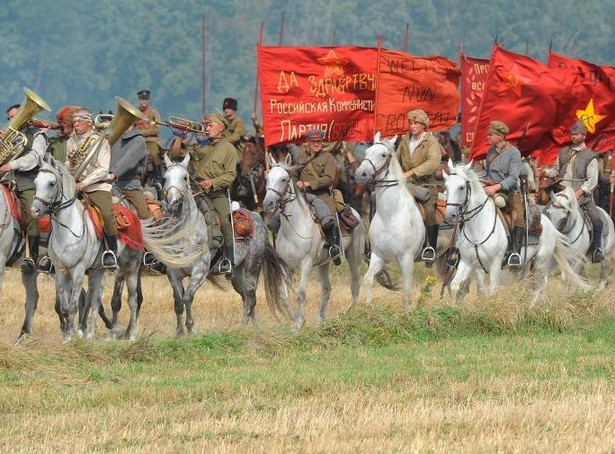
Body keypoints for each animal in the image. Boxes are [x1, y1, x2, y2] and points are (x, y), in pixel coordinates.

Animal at [31, 160, 143, 340]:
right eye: (35, 182)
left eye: (51, 183)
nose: (34, 211)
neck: (68, 229)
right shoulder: (61, 271)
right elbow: (64, 306)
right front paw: (68, 335)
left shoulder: (78, 270)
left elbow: (73, 306)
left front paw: (70, 336)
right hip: (98, 270)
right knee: (95, 300)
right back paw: (90, 334)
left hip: (131, 266)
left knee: (132, 300)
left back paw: (130, 334)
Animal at [262, 154, 366, 328]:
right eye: (267, 178)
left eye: (284, 179)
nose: (267, 203)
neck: (294, 226)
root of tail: (355, 213)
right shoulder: (285, 264)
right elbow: (284, 296)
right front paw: (298, 320)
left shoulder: (306, 263)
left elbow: (301, 294)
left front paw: (297, 324)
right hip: (323, 264)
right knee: (327, 289)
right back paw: (321, 320)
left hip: (354, 257)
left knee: (355, 284)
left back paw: (354, 314)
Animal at [354, 131, 426, 308]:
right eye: (367, 152)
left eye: (383, 154)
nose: (360, 174)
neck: (391, 216)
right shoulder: (378, 256)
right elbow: (368, 279)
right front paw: (369, 307)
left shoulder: (407, 260)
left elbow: (406, 291)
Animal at [442, 161, 588, 300]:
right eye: (446, 186)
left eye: (461, 187)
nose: (450, 215)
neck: (478, 227)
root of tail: (549, 224)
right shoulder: (467, 262)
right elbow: (454, 286)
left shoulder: (495, 264)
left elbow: (492, 291)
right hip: (521, 267)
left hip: (541, 262)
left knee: (539, 288)